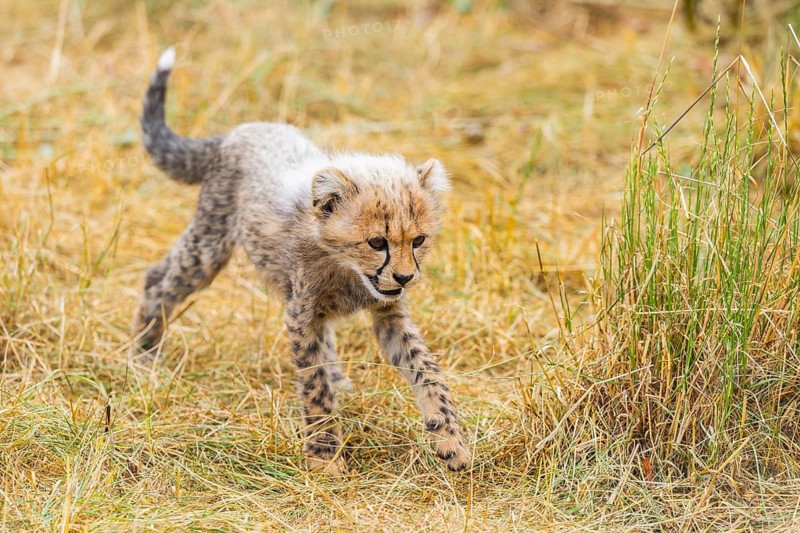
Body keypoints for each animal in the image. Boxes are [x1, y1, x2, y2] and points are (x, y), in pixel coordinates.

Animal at [130, 48, 471, 473]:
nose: (406, 277)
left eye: (418, 240)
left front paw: (451, 439)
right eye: (377, 242)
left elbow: (426, 369)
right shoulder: (300, 313)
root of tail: (241, 130)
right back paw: (144, 358)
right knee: (157, 278)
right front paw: (324, 455)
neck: (347, 271)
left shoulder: (388, 313)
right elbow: (313, 383)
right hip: (209, 243)